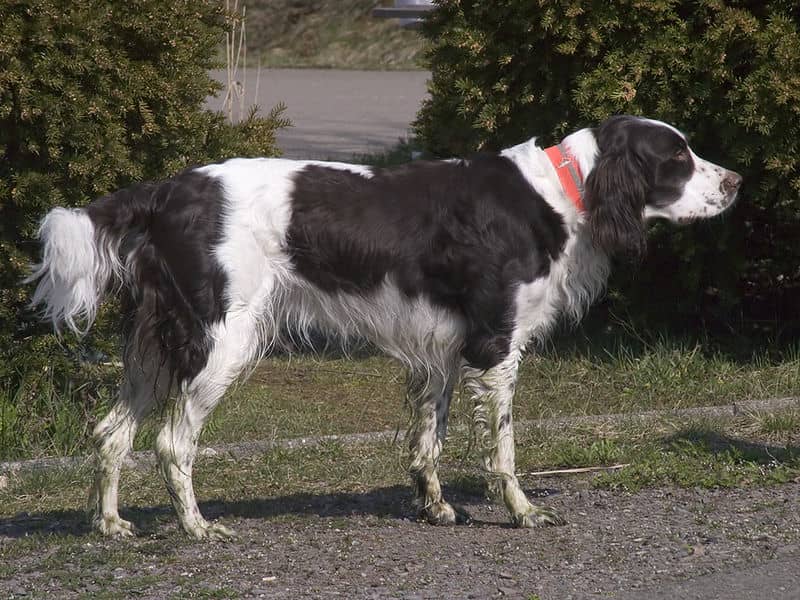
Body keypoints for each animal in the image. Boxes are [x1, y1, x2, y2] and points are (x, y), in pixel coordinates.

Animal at [26, 115, 744, 536]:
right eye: (678, 158)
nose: (738, 180)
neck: (562, 191)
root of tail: (165, 192)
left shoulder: (443, 350)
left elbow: (429, 440)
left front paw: (435, 507)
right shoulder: (495, 344)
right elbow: (504, 448)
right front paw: (522, 512)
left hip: (155, 344)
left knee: (111, 433)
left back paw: (110, 524)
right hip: (219, 343)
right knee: (172, 442)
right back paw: (198, 529)